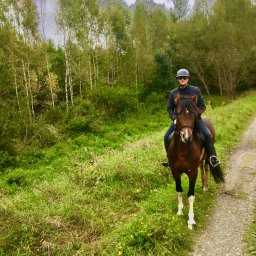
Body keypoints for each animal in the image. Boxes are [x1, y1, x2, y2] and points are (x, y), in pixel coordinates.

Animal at [167, 93, 223, 229]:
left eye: (193, 114)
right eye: (178, 113)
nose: (186, 136)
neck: (182, 150)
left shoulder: (192, 172)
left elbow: (191, 195)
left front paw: (191, 220)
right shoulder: (175, 171)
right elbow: (179, 190)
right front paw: (180, 210)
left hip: (207, 158)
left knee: (206, 168)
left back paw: (205, 187)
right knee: (202, 167)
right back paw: (202, 185)